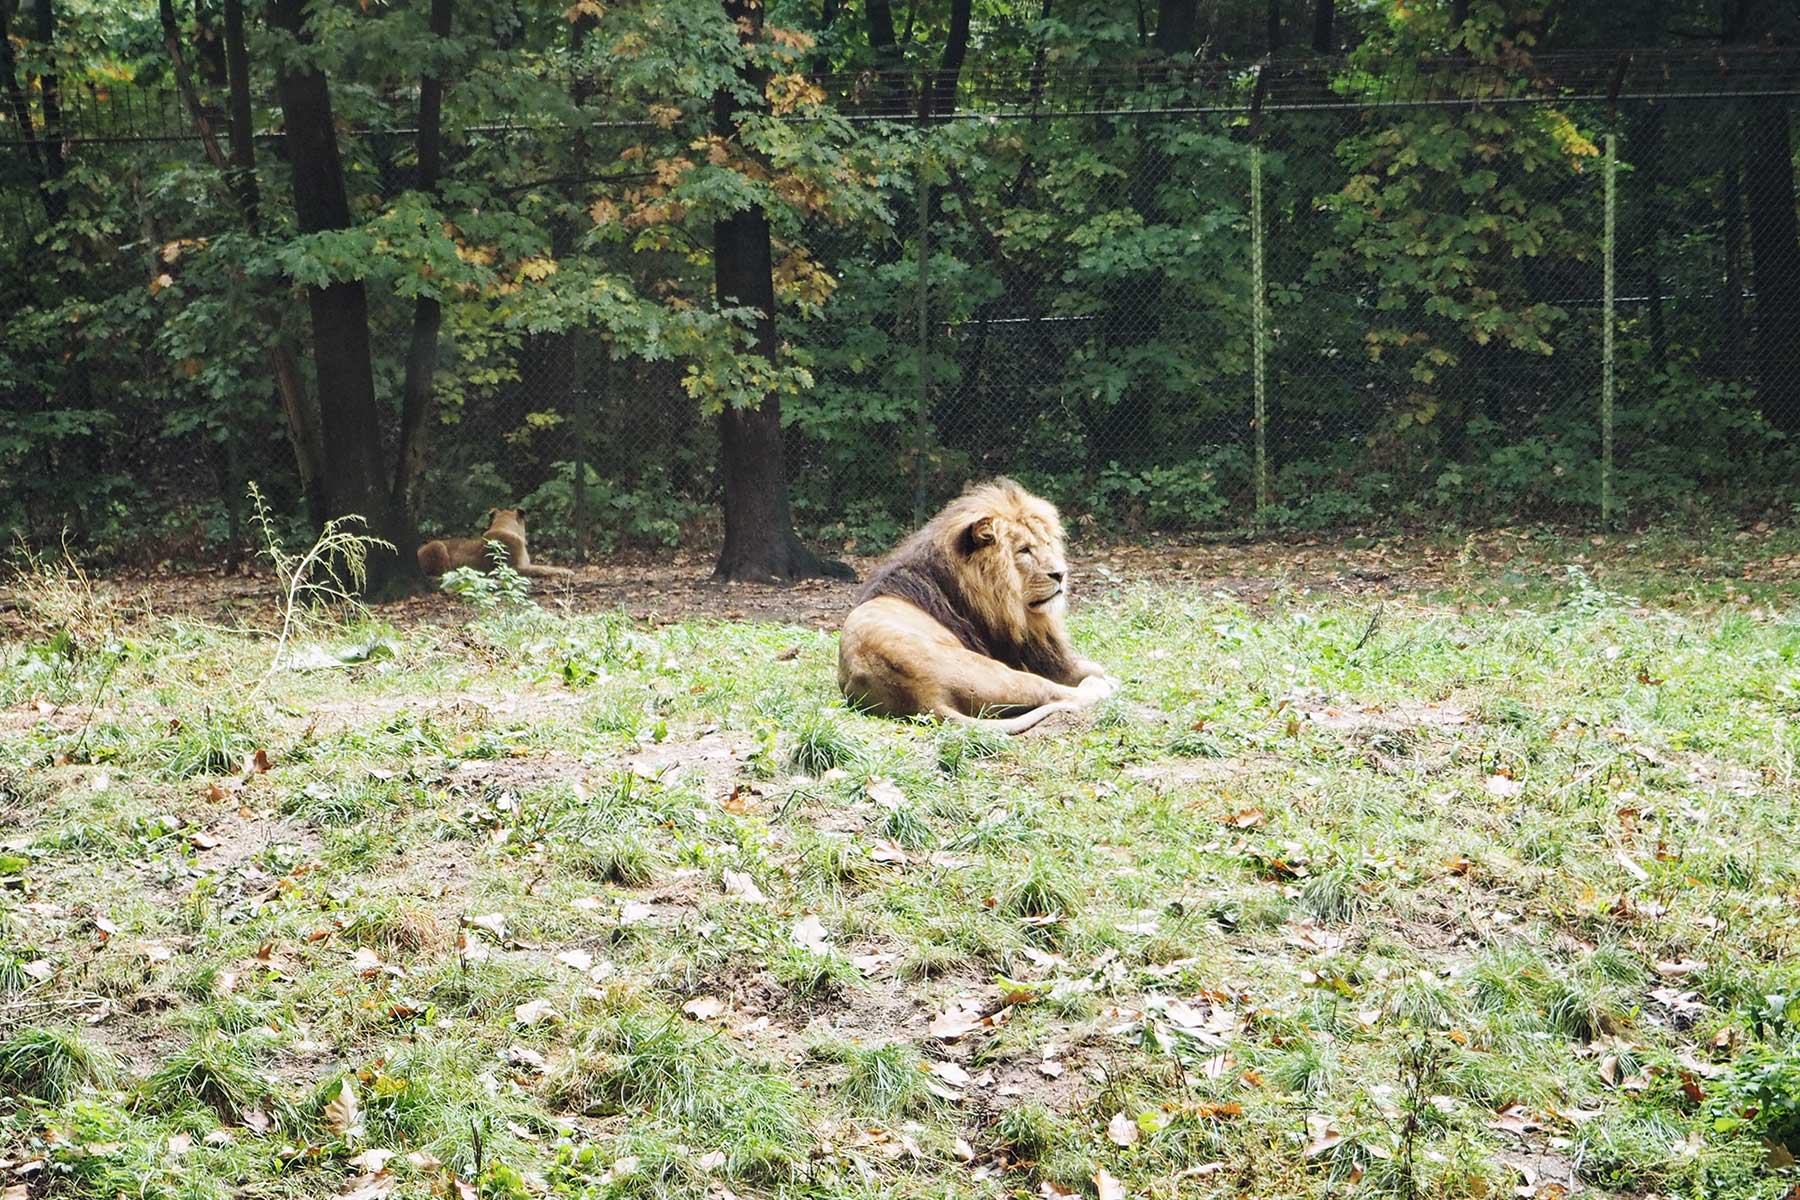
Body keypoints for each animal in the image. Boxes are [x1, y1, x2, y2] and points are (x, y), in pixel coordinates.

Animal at [837, 478, 1118, 735]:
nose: (1060, 574)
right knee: (1059, 694)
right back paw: (1103, 685)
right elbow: (1087, 669)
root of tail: (923, 697)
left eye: (1047, 544)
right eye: (1024, 550)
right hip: (998, 673)